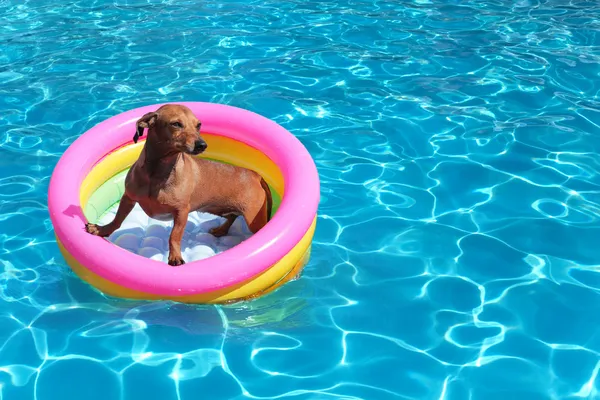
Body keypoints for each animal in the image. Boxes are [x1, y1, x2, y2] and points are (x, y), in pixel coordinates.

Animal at [84, 104, 272, 266]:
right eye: (176, 124)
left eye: (198, 125)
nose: (202, 145)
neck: (157, 173)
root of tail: (254, 174)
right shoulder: (128, 197)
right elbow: (118, 220)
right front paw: (102, 230)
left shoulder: (181, 212)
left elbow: (174, 236)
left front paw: (175, 257)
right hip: (219, 208)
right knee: (232, 216)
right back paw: (221, 230)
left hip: (254, 220)